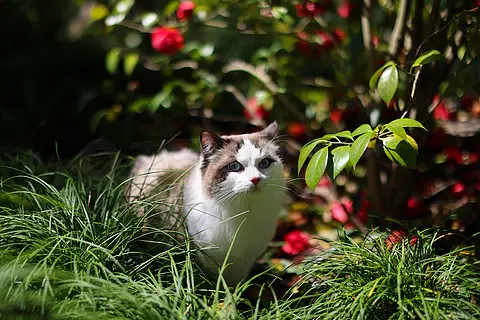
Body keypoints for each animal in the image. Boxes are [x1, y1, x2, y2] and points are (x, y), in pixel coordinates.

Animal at [126, 123, 284, 288]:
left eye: (264, 163)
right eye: (235, 166)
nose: (255, 179)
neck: (244, 210)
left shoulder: (244, 261)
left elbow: (235, 286)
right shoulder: (207, 258)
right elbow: (215, 284)